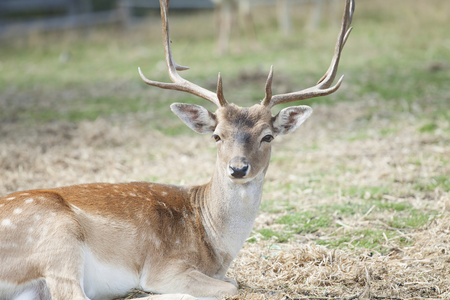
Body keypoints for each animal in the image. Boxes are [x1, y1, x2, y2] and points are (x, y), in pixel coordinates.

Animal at [0, 0, 356, 298]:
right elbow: (231, 285)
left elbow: (232, 281)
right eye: (217, 136)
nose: (238, 168)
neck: (213, 243)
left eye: (268, 136)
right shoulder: (165, 265)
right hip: (57, 238)